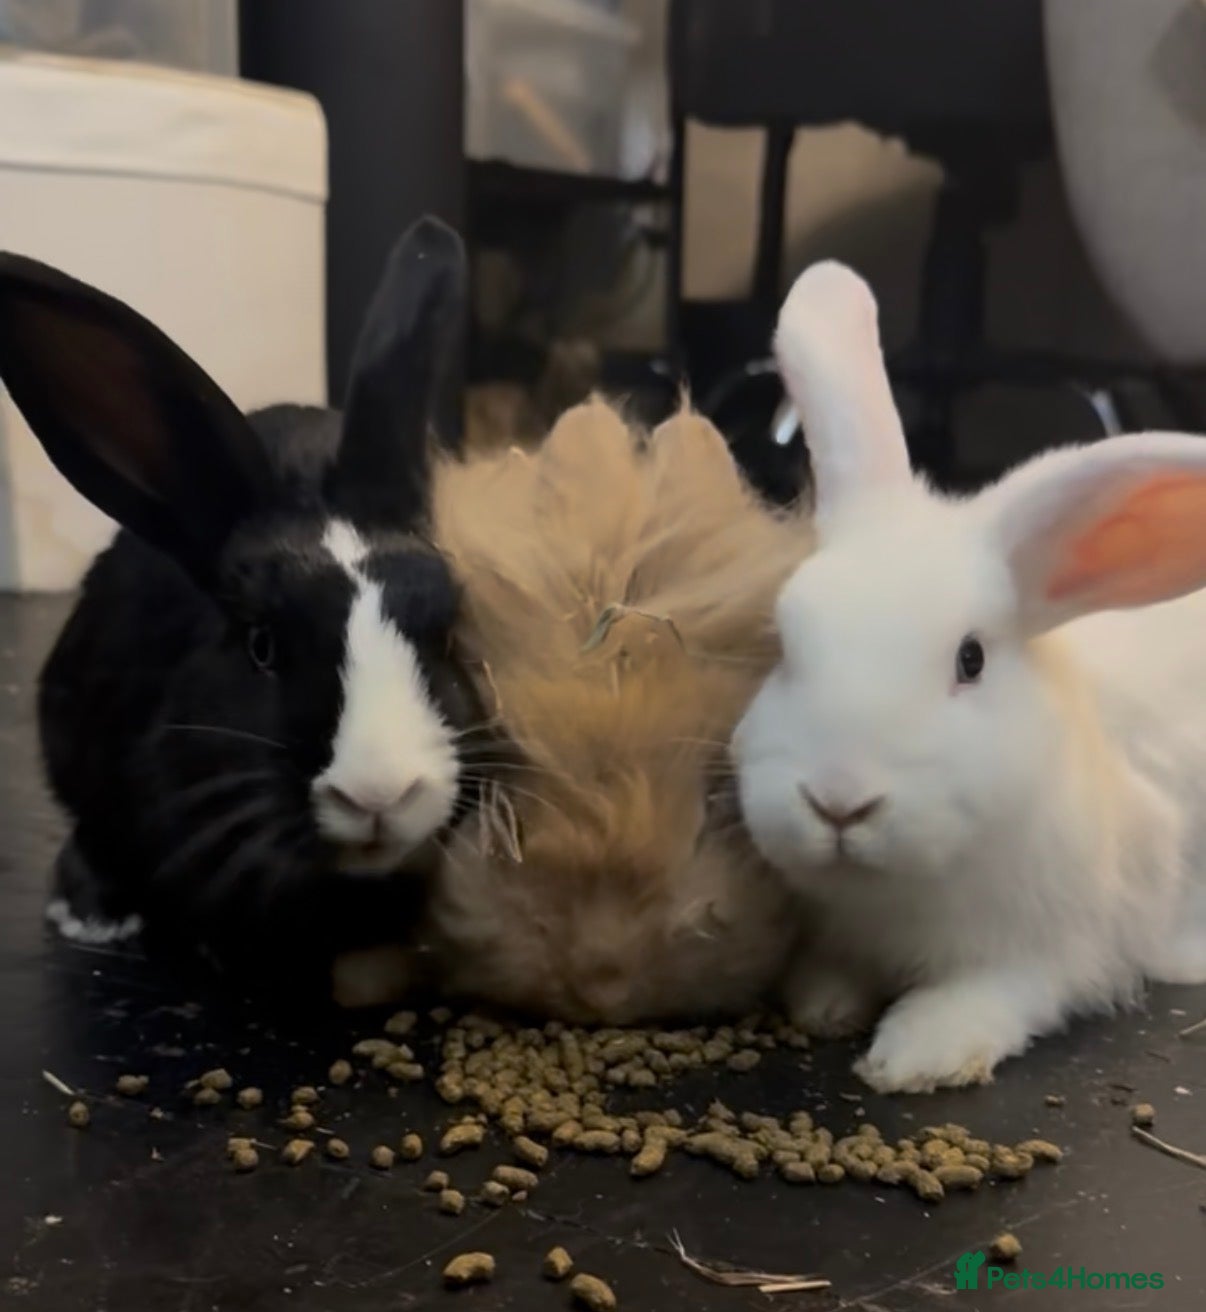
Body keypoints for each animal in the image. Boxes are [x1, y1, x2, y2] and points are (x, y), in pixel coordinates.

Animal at [732, 259, 1206, 1093]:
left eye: (971, 659)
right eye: (785, 642)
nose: (839, 803)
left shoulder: (1058, 950)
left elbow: (999, 993)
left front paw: (915, 1056)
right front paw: (824, 1004)